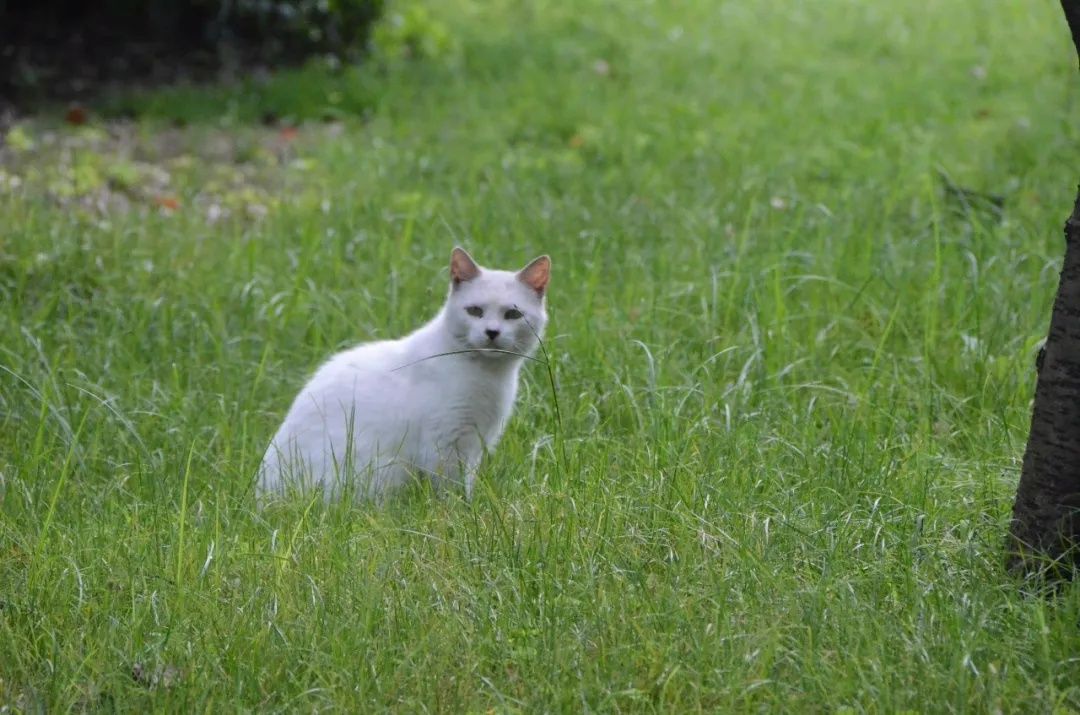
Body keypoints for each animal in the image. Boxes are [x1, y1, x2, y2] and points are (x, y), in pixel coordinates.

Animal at [258, 249, 552, 501]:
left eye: (512, 314)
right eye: (475, 311)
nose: (492, 332)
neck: (489, 376)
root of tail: (261, 501)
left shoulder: (474, 445)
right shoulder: (444, 444)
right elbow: (452, 493)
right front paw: (464, 517)